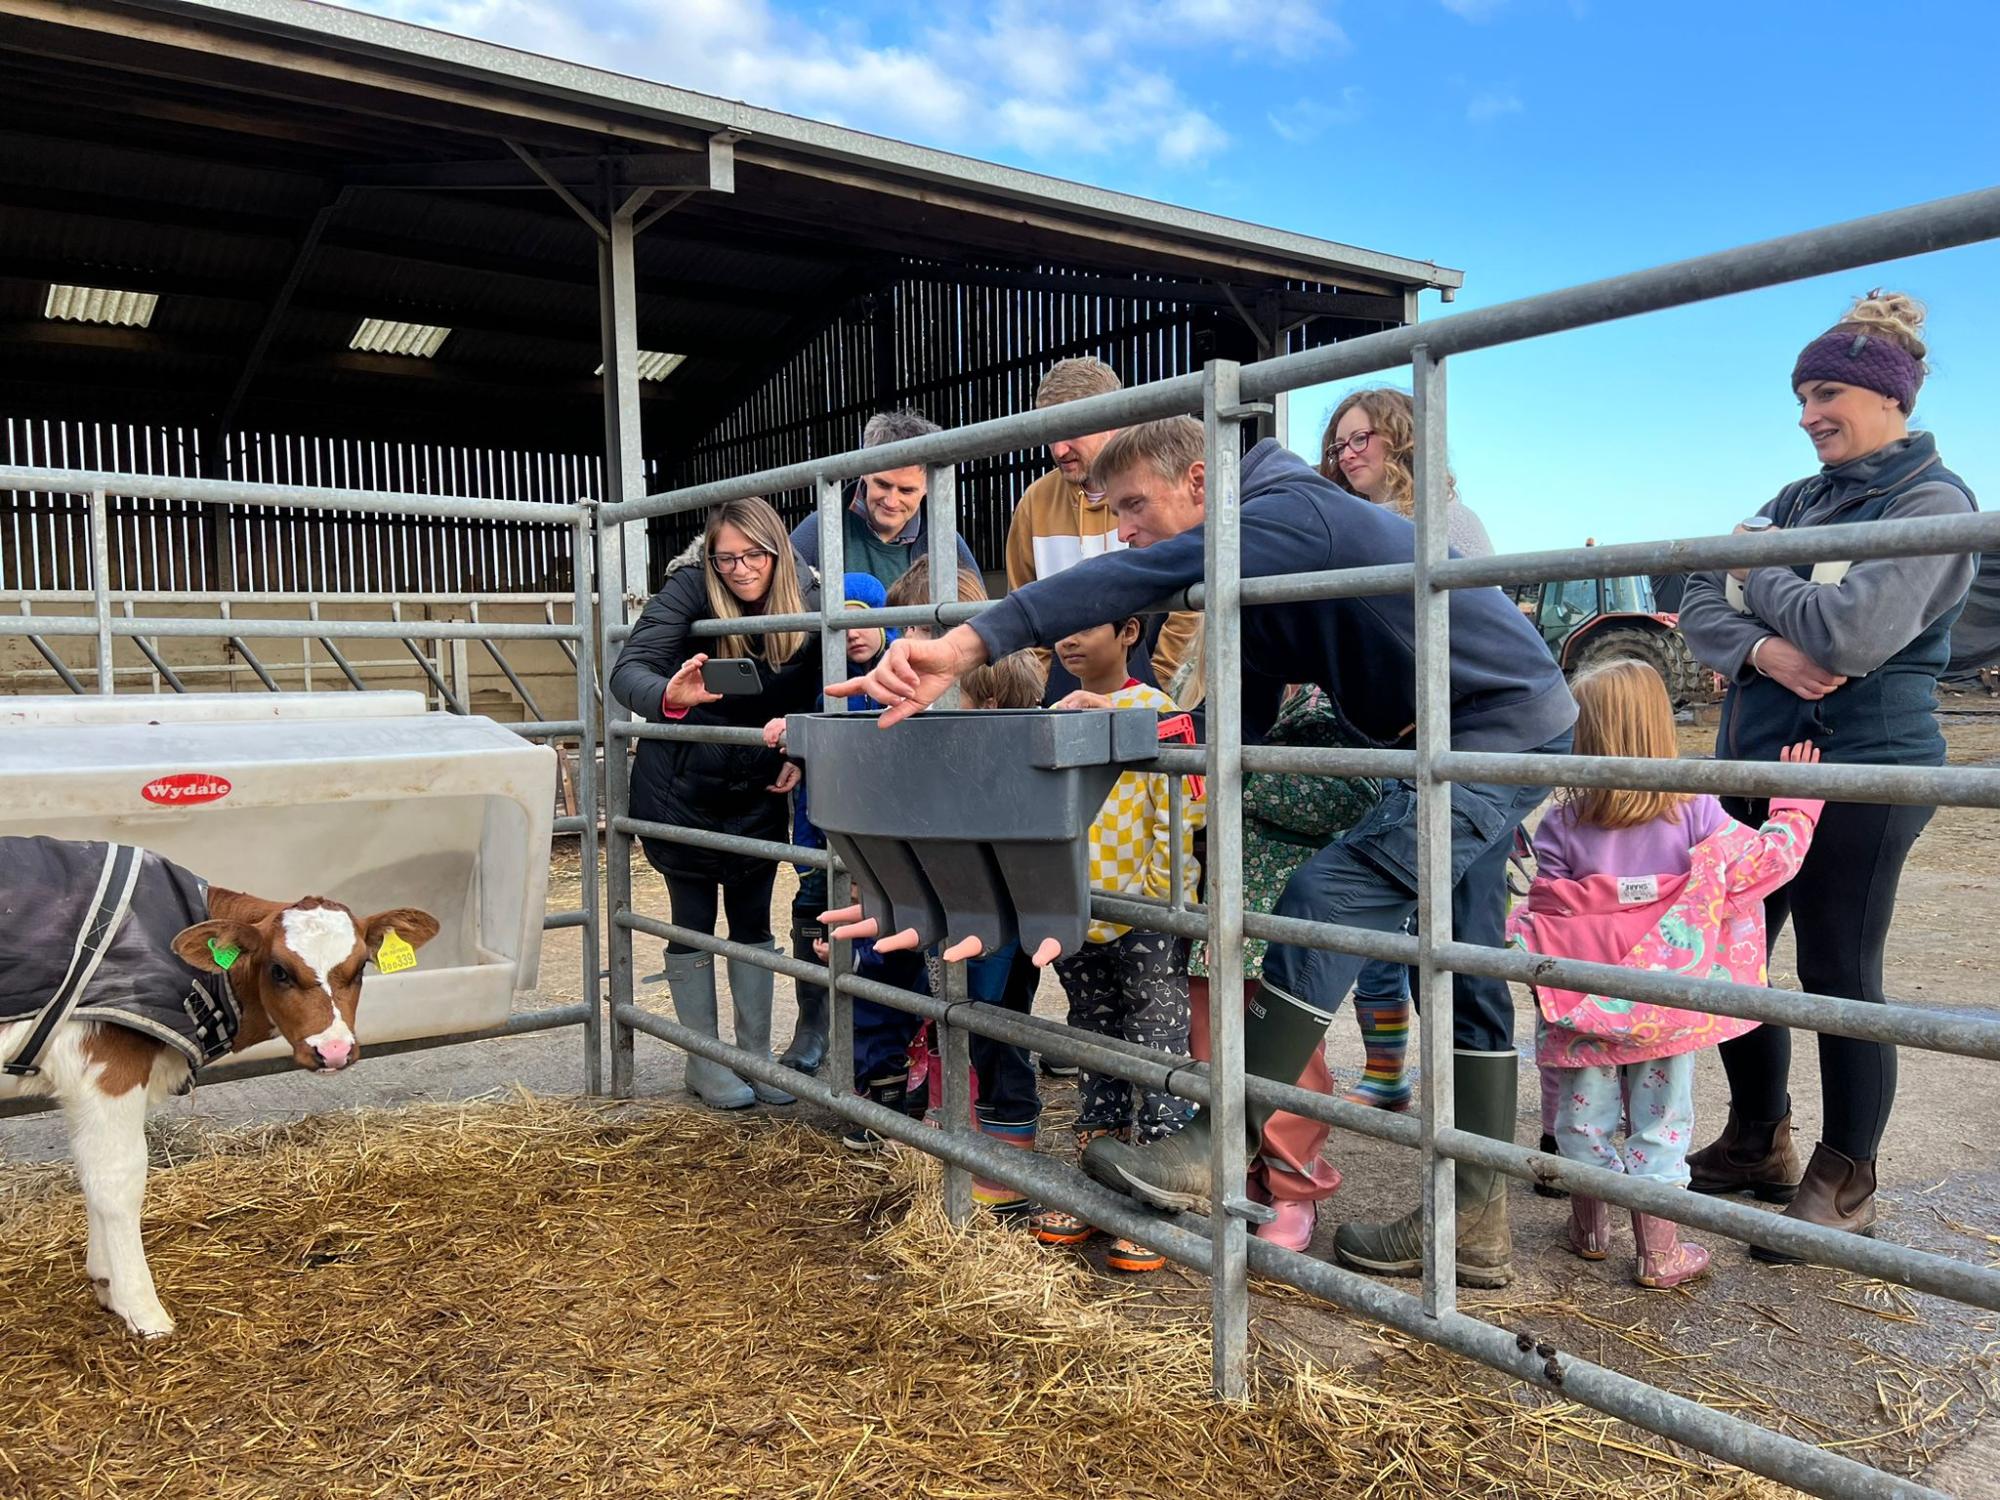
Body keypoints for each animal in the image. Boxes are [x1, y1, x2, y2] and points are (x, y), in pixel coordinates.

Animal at [0, 880, 438, 1336]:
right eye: (279, 970)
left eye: (361, 968)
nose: (333, 1050)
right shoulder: (109, 1064)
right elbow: (117, 1180)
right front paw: (140, 1307)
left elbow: (89, 1172)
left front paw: (105, 1281)